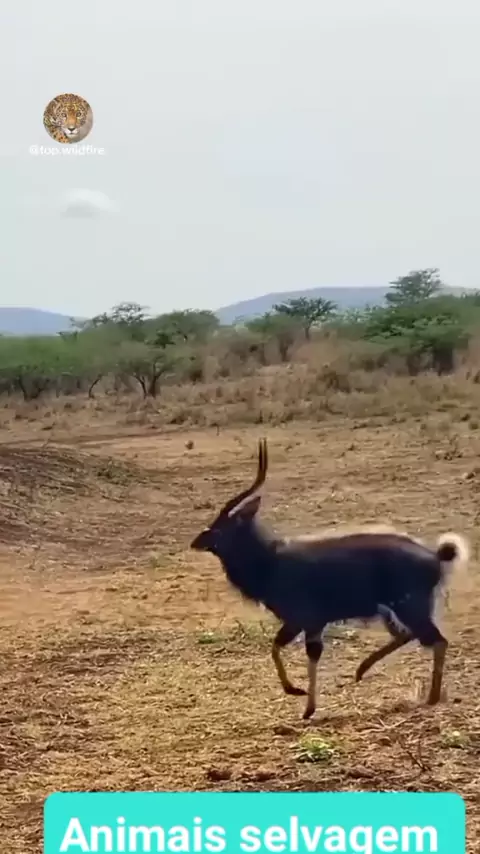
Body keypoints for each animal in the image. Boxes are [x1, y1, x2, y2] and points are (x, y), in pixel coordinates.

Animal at [190, 438, 469, 720]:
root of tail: (436, 556)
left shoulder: (306, 620)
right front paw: (305, 702)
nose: (196, 542)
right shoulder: (307, 623)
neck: (271, 562)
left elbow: (287, 650)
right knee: (409, 635)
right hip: (391, 610)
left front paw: (302, 699)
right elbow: (291, 650)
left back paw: (431, 698)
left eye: (222, 525)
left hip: (409, 606)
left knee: (436, 640)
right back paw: (361, 671)